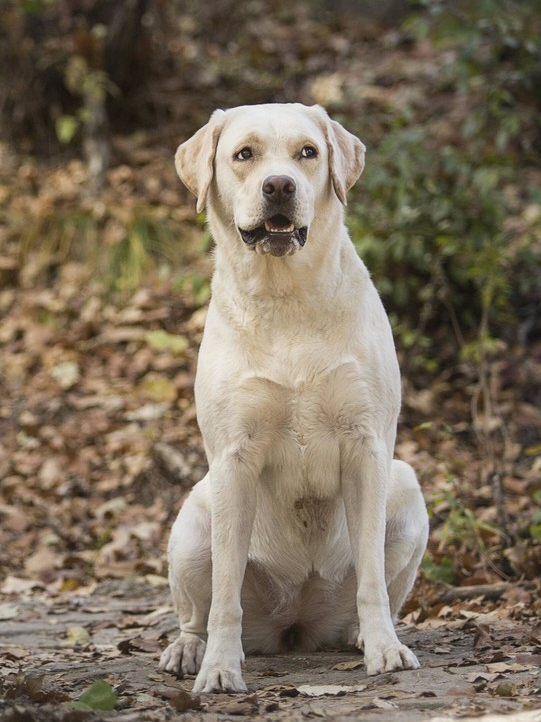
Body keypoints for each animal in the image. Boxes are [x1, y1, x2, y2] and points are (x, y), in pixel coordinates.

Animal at [158, 102, 428, 692]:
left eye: (309, 152)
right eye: (244, 154)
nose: (279, 186)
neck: (286, 299)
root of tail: (296, 623)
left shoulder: (367, 447)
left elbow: (372, 578)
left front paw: (384, 650)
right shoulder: (233, 459)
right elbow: (224, 597)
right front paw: (219, 668)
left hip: (405, 489)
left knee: (378, 588)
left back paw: (365, 634)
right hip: (193, 520)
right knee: (196, 610)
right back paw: (188, 650)